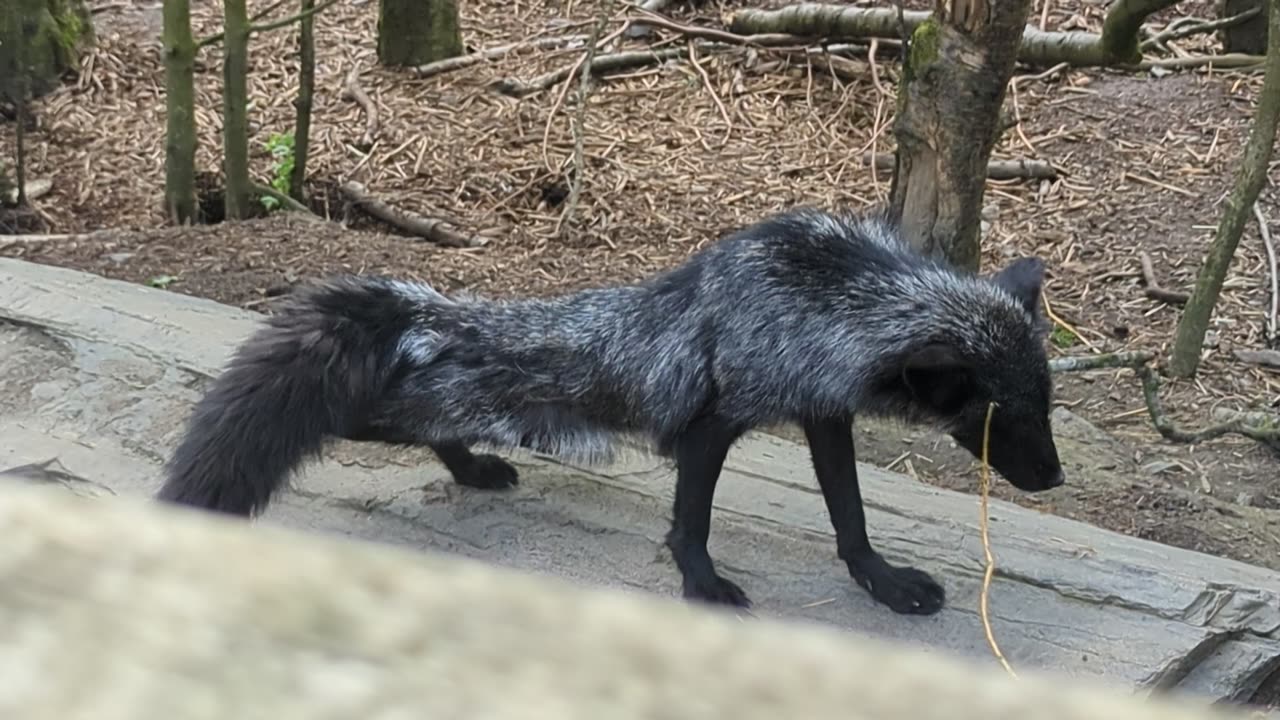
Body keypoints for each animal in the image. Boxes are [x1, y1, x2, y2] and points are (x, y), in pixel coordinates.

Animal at [157, 204, 1059, 614]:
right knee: (370, 413)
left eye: (1044, 406)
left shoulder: (821, 409)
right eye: (1000, 419)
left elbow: (851, 515)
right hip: (392, 409)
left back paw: (472, 468)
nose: (1052, 481)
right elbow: (691, 522)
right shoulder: (712, 424)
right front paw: (702, 584)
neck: (839, 296)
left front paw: (881, 581)